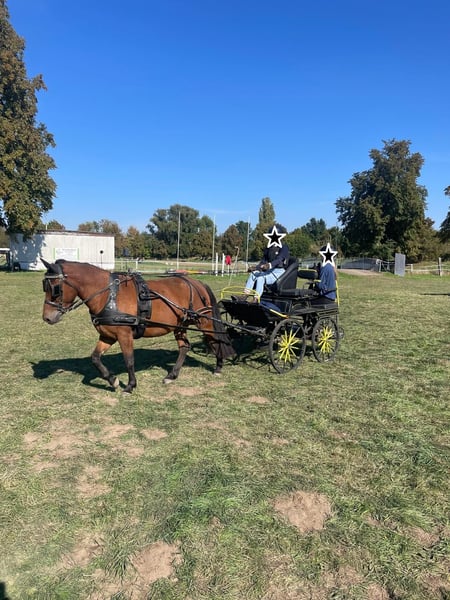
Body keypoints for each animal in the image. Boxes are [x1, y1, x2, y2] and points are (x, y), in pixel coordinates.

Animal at [41, 259, 235, 393]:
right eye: (45, 286)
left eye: (55, 288)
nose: (47, 318)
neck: (108, 294)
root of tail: (197, 283)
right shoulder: (107, 335)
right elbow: (95, 358)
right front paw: (112, 380)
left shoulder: (124, 334)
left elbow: (129, 360)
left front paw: (130, 385)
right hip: (180, 326)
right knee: (185, 347)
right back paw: (171, 375)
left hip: (205, 322)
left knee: (217, 340)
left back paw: (218, 366)